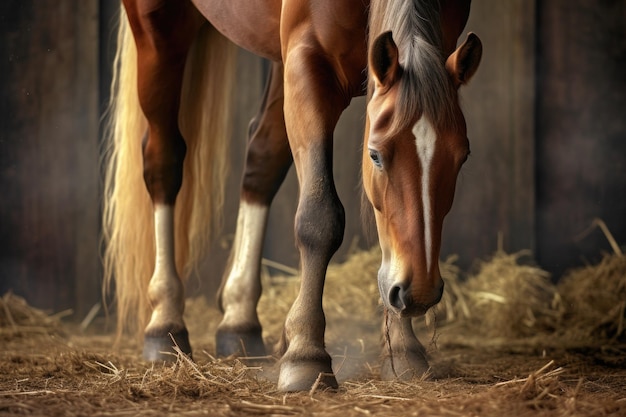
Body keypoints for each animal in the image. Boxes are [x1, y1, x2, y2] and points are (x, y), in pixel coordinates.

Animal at [103, 0, 482, 392]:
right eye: (375, 155)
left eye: (463, 156)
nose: (418, 292)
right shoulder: (308, 61)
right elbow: (320, 217)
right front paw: (305, 353)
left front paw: (403, 349)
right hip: (158, 30)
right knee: (163, 160)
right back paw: (165, 321)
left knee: (261, 158)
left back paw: (239, 319)